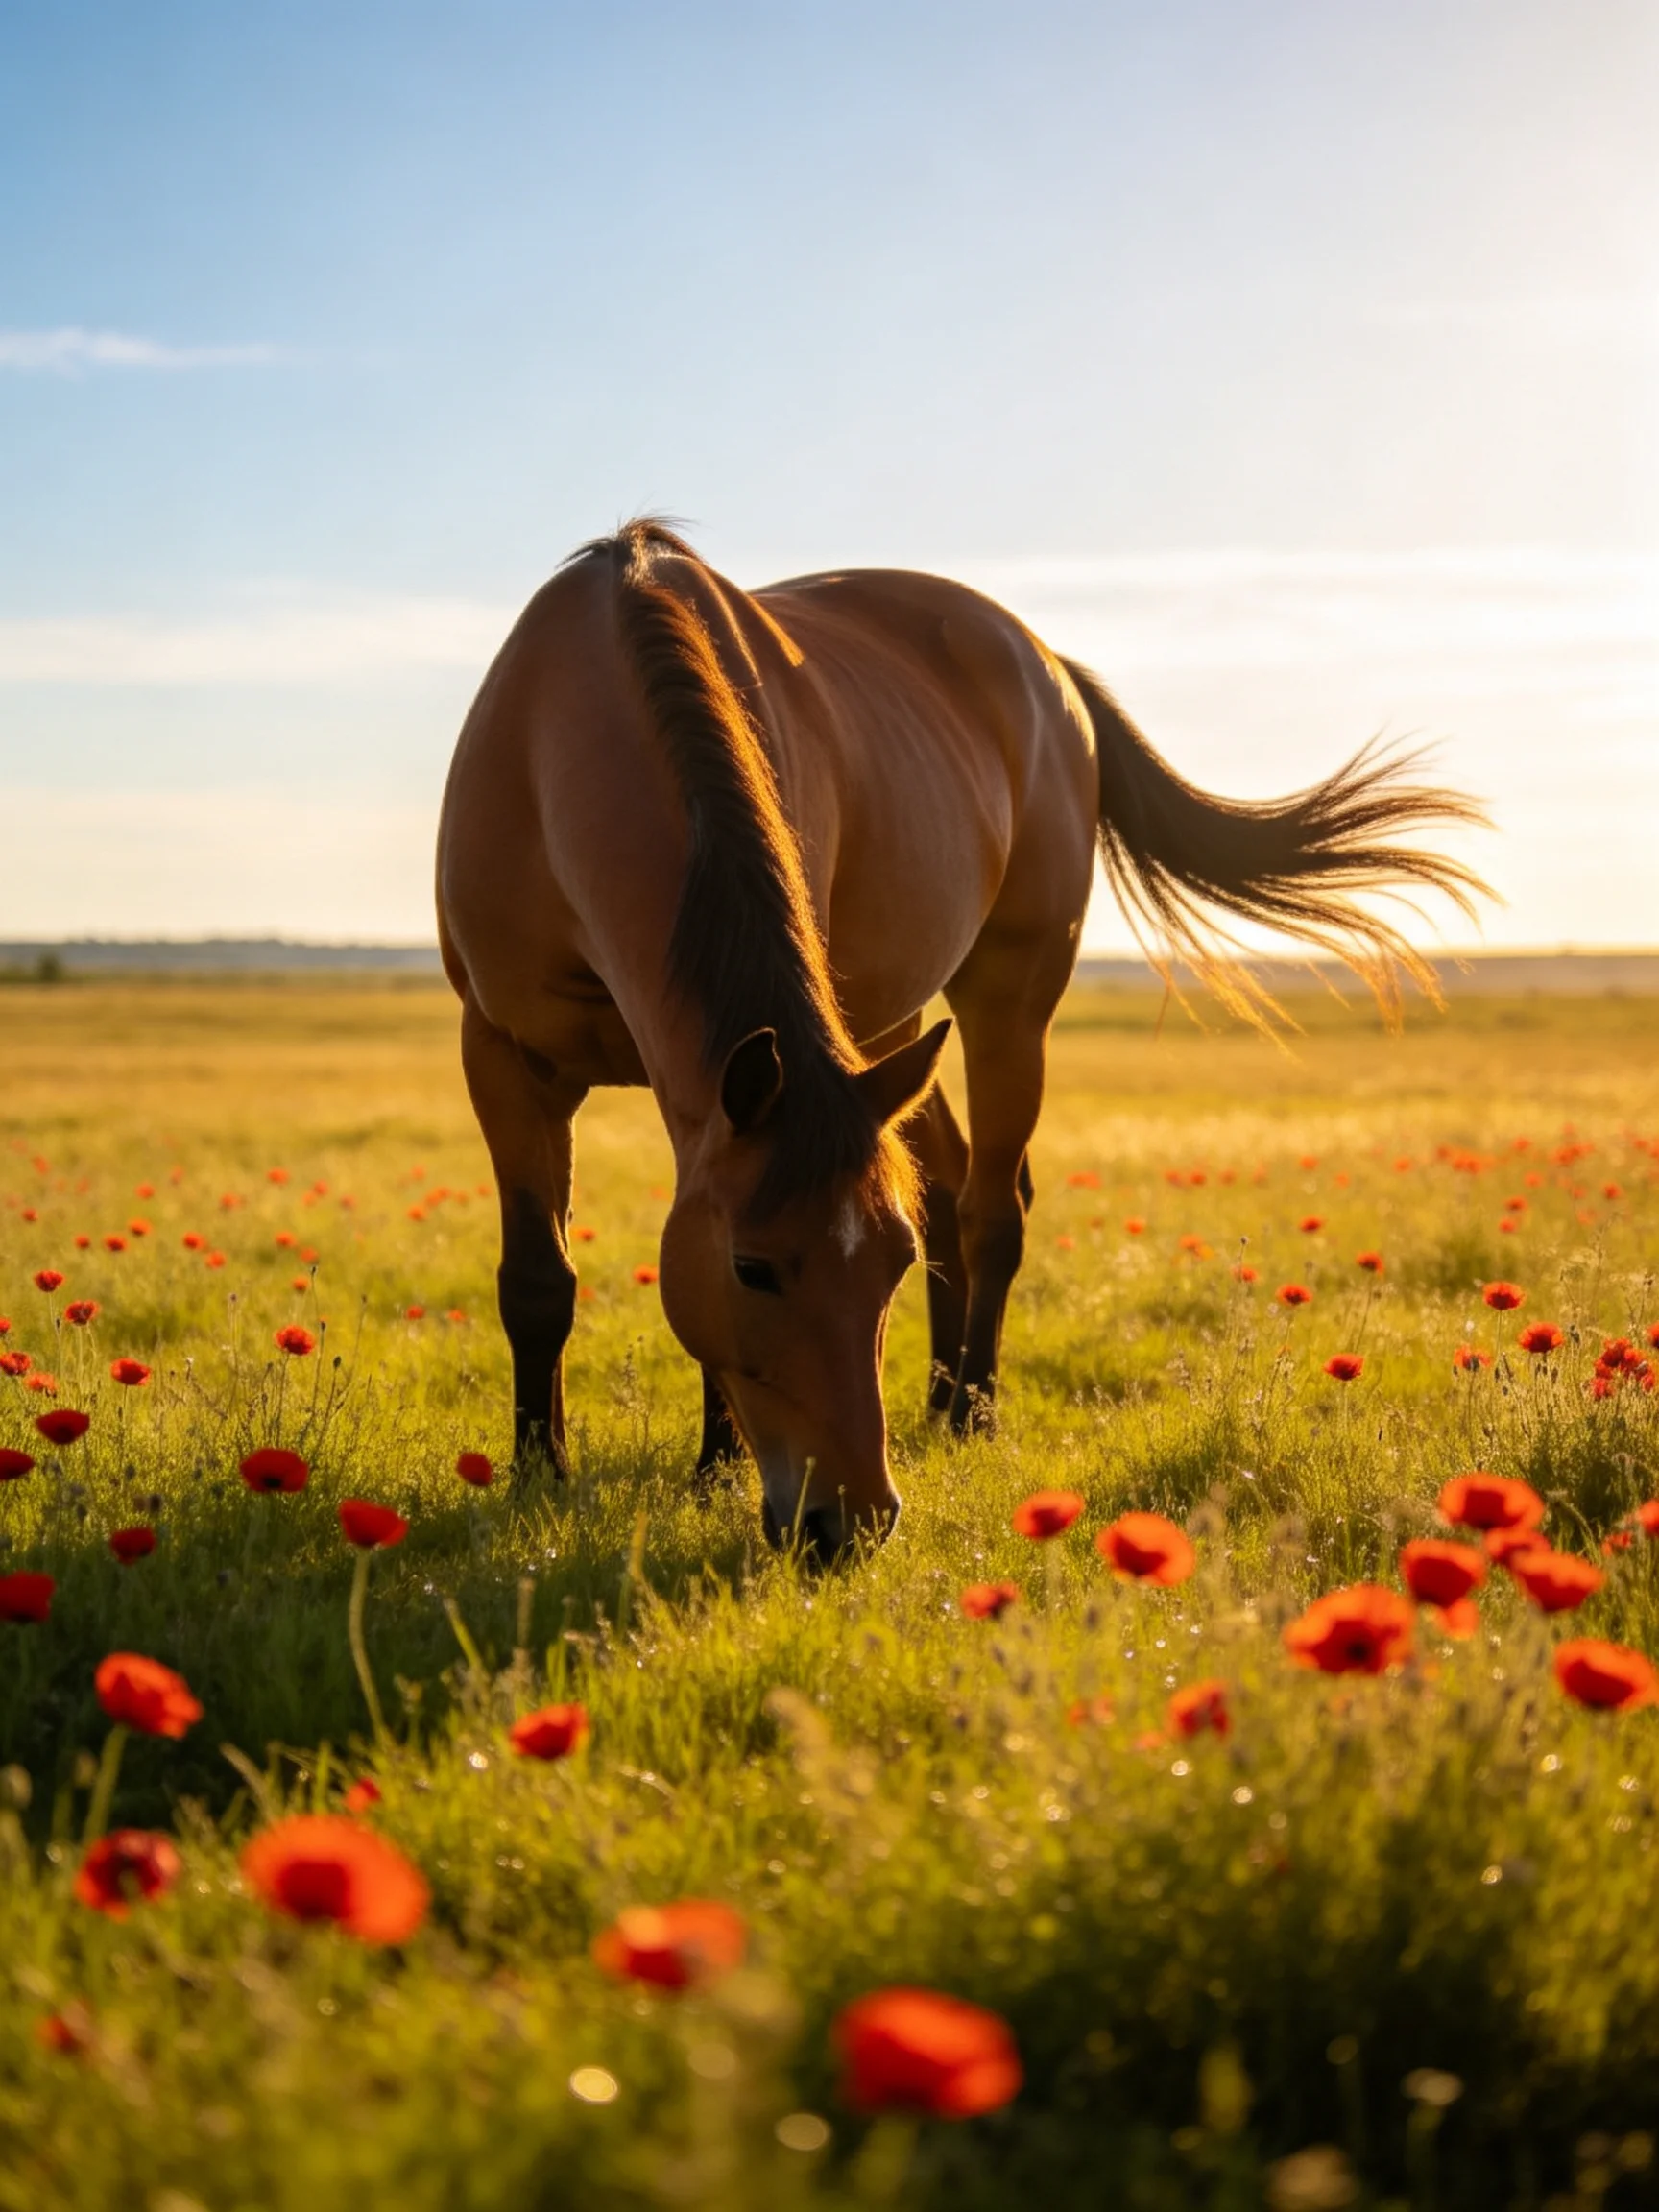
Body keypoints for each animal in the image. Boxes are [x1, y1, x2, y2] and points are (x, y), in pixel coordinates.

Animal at [436, 520, 1484, 1562]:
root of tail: (1046, 664)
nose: (850, 1522)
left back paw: (972, 1410)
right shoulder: (504, 1056)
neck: (577, 724)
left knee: (992, 1205)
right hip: (891, 1031)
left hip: (1008, 1001)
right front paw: (539, 1474)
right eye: (753, 1269)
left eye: (887, 1268)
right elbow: (540, 1280)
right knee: (943, 1183)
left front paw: (712, 1471)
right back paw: (941, 1401)